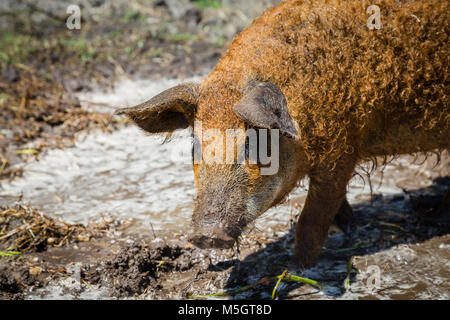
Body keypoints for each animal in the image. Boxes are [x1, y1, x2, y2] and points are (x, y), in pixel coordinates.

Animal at [116, 0, 450, 266]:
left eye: (254, 144)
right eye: (195, 146)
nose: (207, 234)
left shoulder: (341, 152)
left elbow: (313, 217)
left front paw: (298, 267)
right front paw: (348, 225)